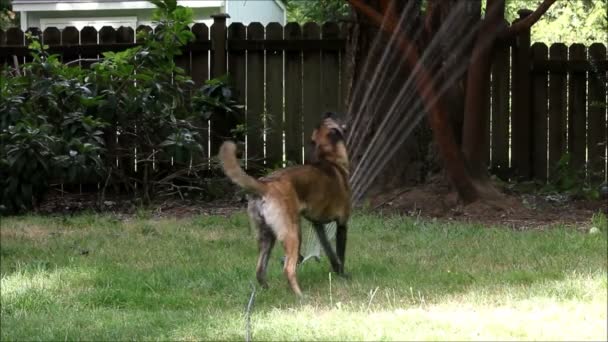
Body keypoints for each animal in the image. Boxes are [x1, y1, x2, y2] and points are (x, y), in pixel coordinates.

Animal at [221, 113, 350, 296]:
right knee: (288, 269)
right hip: (293, 234)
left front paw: (337, 271)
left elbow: (330, 252)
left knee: (260, 270)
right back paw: (300, 296)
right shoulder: (342, 223)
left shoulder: (318, 226)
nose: (329, 112)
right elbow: (340, 254)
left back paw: (267, 291)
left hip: (266, 236)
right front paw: (343, 276)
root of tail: (266, 186)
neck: (330, 159)